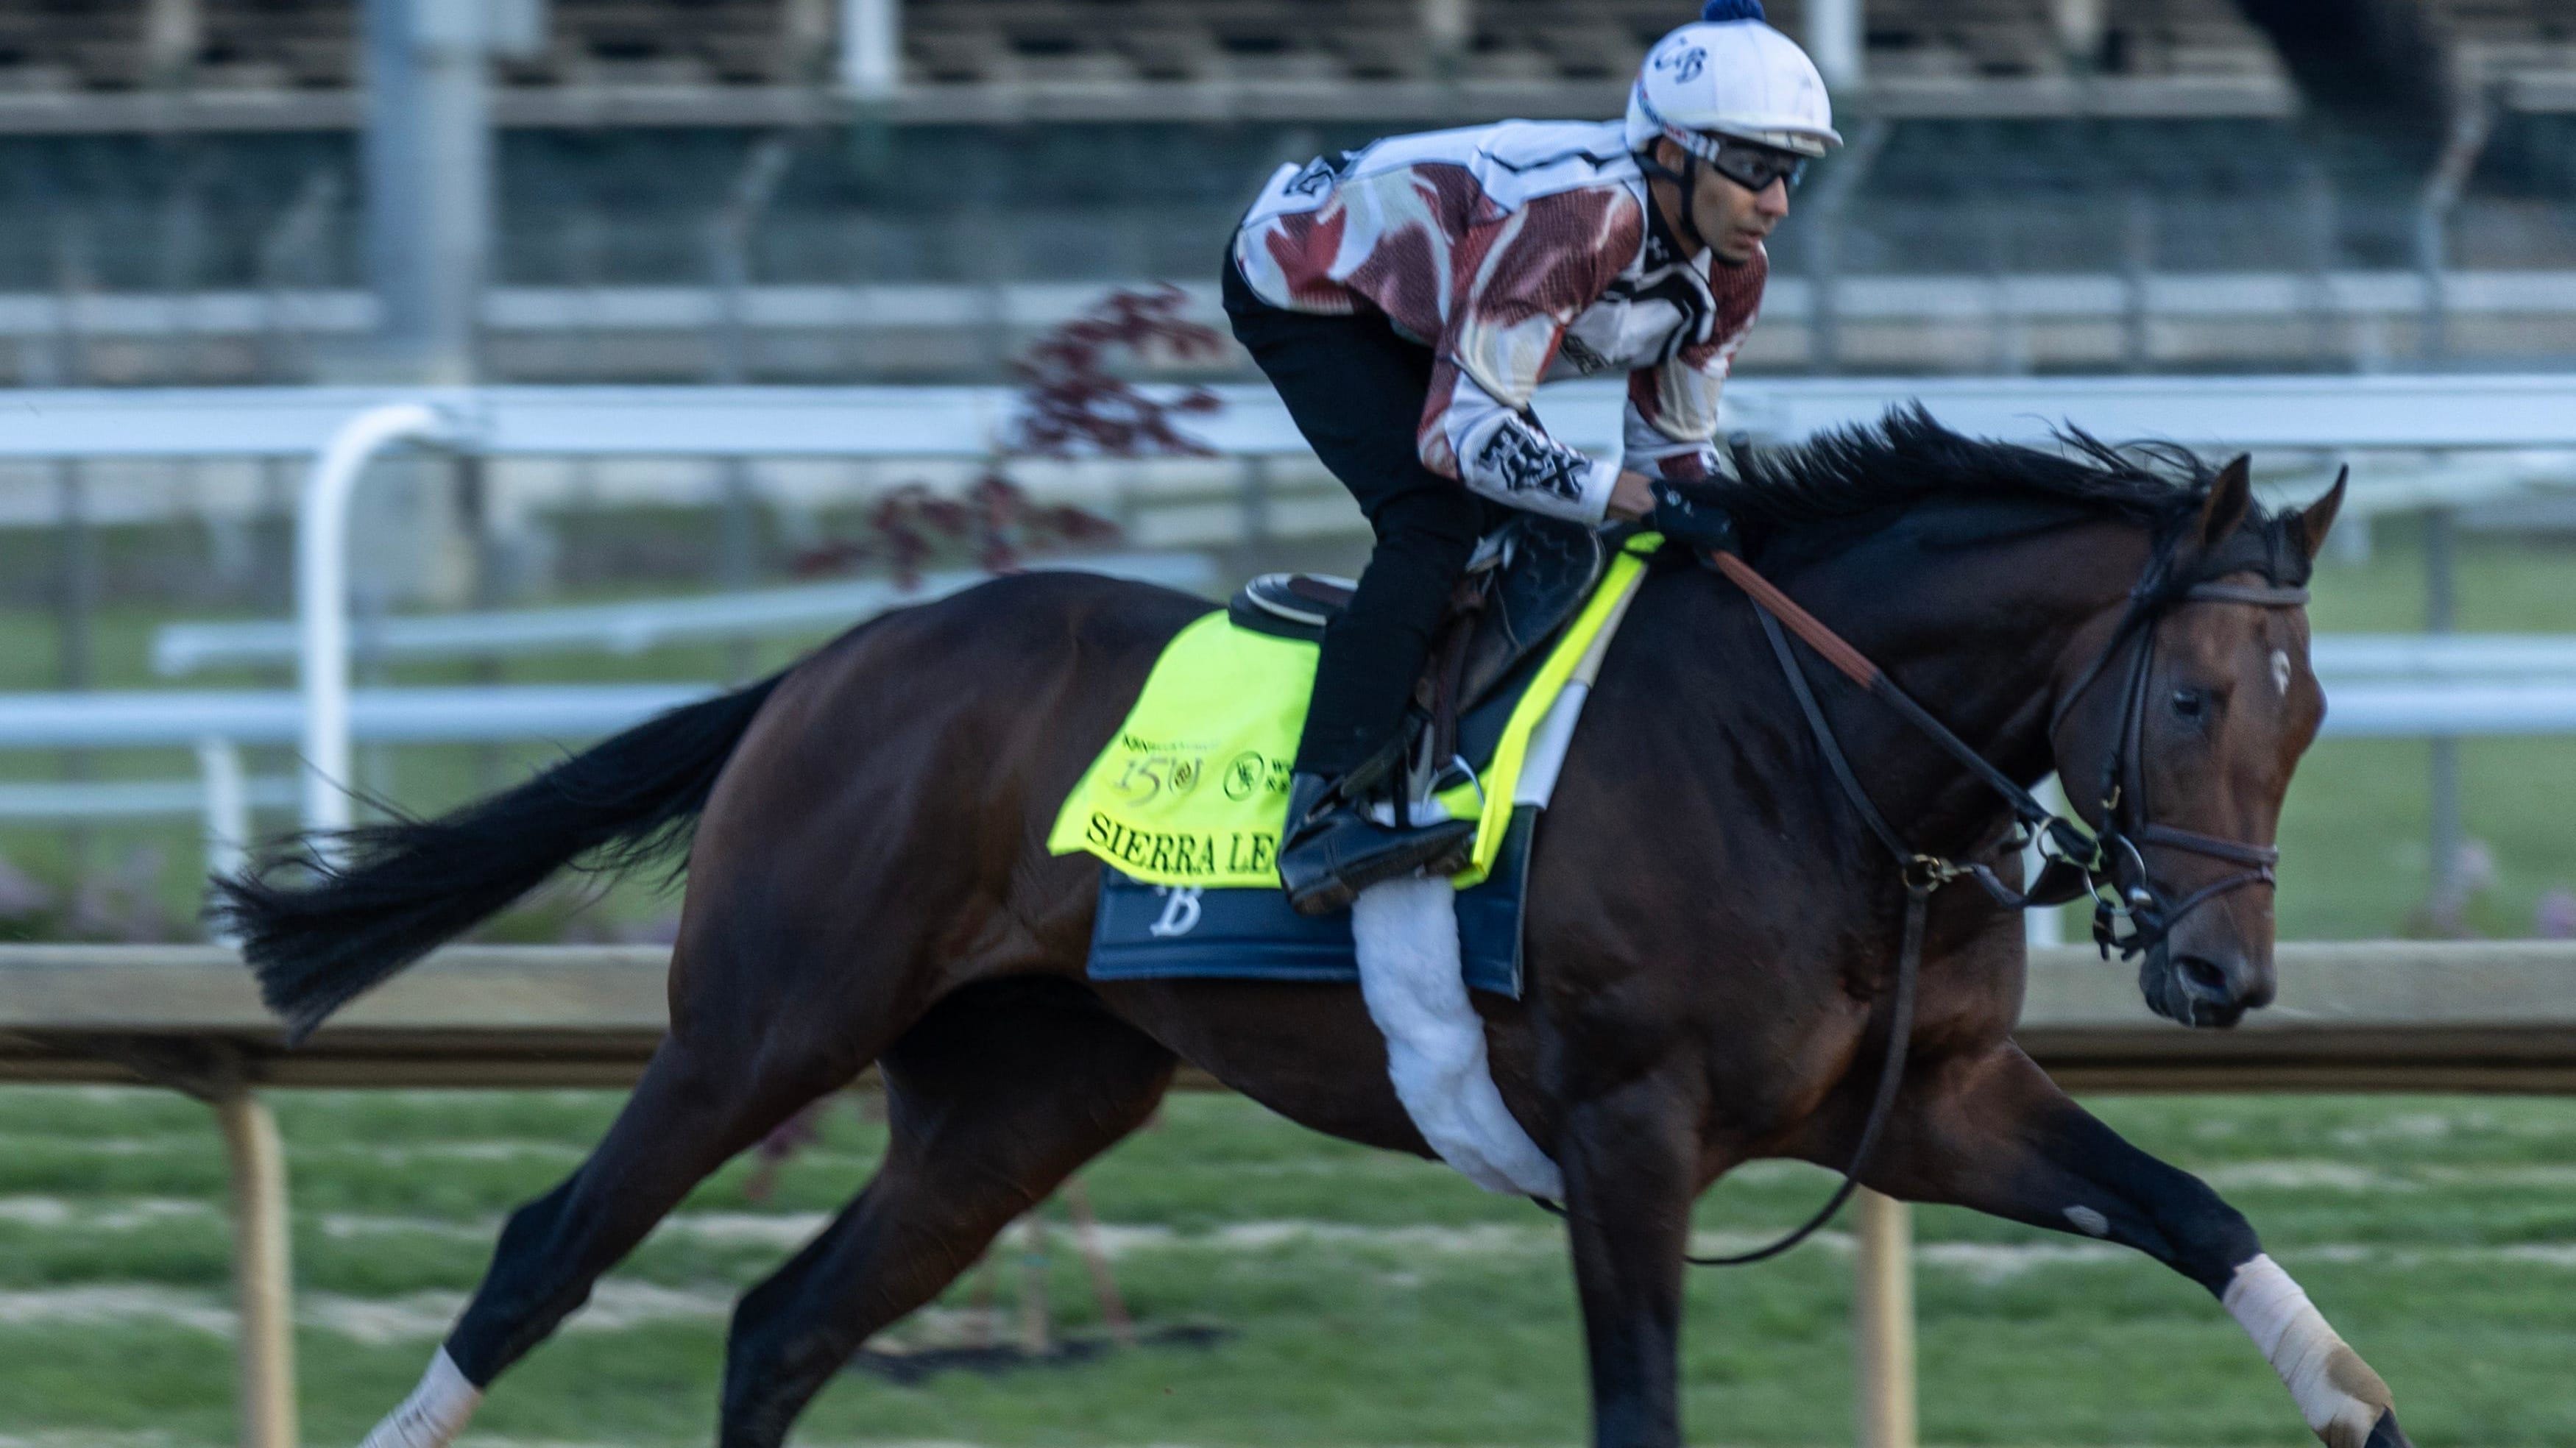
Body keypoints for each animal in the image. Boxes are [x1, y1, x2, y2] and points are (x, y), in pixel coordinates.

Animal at [211, 409, 2401, 1442]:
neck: (1820, 754)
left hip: (1024, 1096)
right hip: (762, 1023)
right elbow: (1637, 1405)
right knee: (542, 1260)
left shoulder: (1932, 1102)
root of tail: (837, 661)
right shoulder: (1628, 1135)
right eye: (2193, 701)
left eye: (2310, 718)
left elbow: (2199, 1214)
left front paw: (2352, 1402)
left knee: (781, 1328)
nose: (2222, 974)